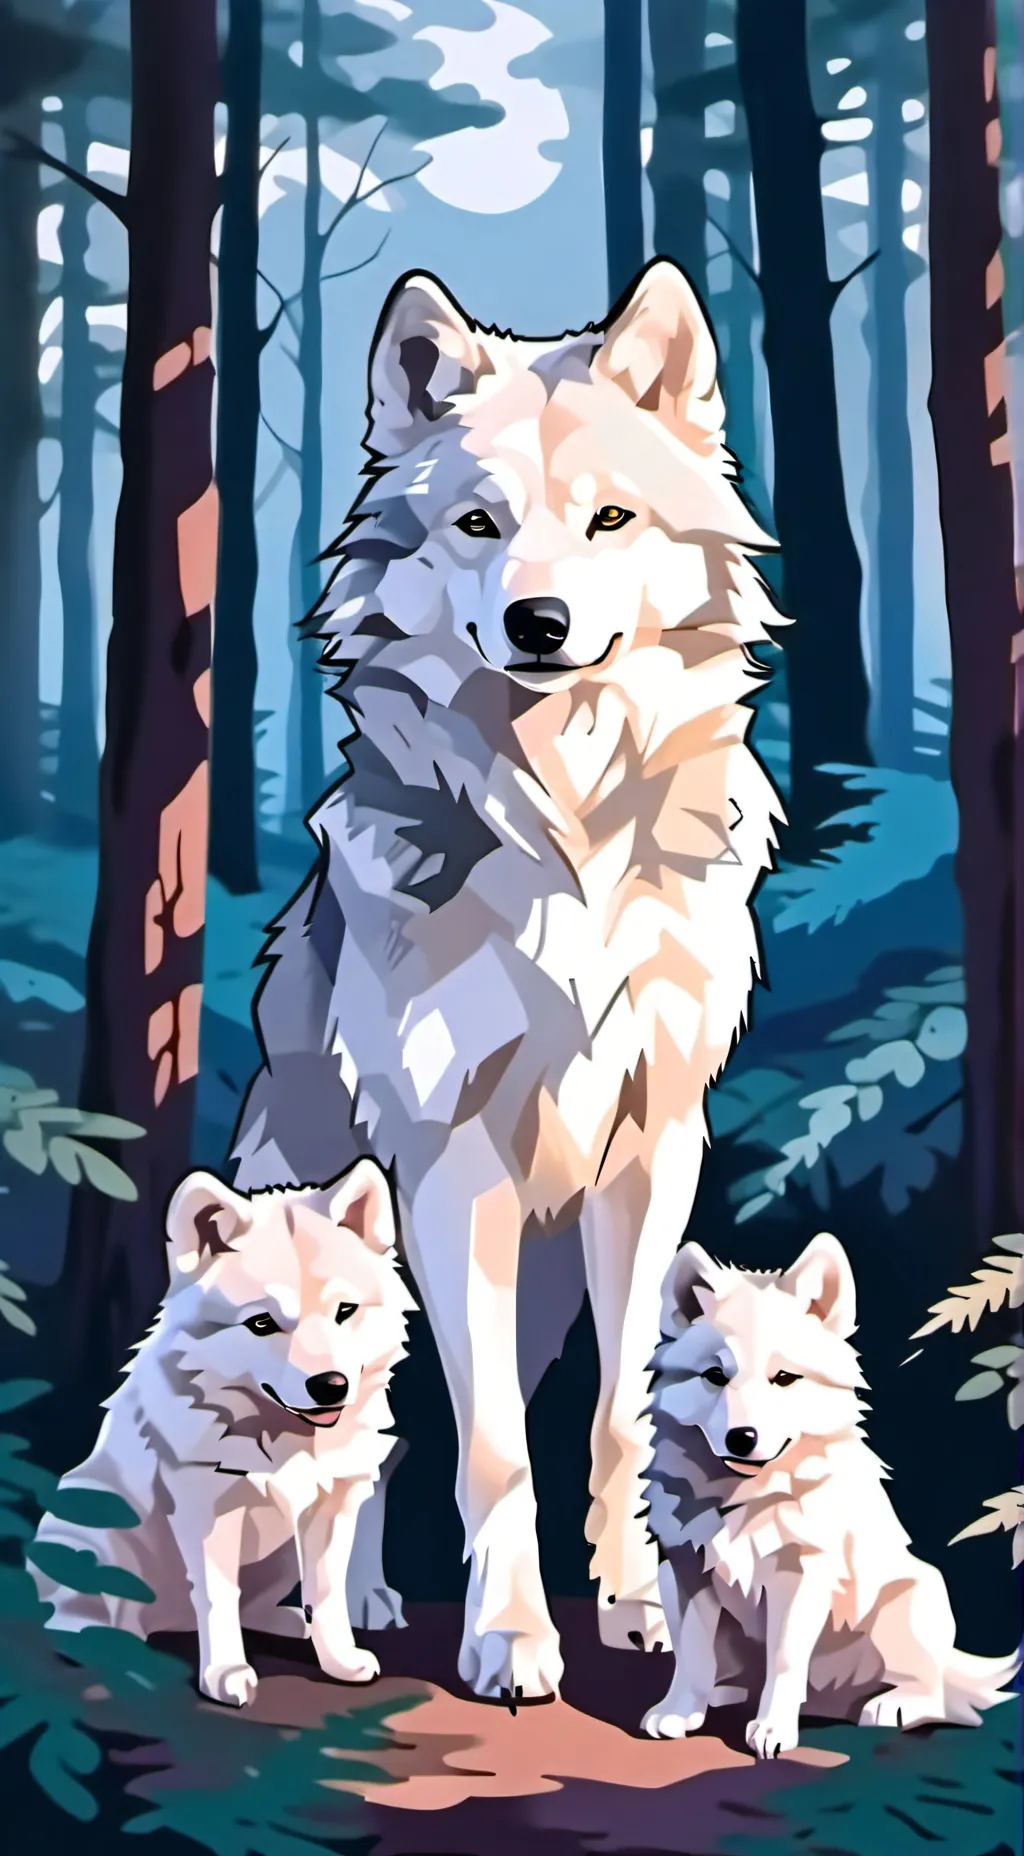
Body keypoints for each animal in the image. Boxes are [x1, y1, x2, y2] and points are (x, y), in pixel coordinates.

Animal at [31, 1159, 414, 1707]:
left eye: (345, 1311)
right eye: (262, 1323)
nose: (331, 1386)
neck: (284, 1441)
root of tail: (167, 1624)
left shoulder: (331, 1506)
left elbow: (326, 1591)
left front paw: (339, 1660)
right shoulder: (208, 1513)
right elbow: (217, 1597)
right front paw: (226, 1674)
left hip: (280, 1554)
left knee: (257, 1608)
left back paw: (290, 1623)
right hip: (87, 1527)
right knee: (78, 1617)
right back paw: (107, 1638)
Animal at [231, 257, 786, 1701]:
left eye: (609, 519)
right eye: (477, 524)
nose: (540, 621)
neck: (564, 829)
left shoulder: (655, 1153)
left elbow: (617, 1412)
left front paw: (640, 1610)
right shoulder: (453, 1164)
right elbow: (488, 1450)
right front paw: (513, 1642)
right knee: (357, 1414)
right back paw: (358, 1599)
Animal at [644, 1233, 1020, 1756]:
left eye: (784, 1378)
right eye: (715, 1377)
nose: (742, 1437)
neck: (742, 1500)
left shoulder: (800, 1576)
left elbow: (784, 1659)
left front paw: (772, 1731)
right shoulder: (682, 1570)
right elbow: (691, 1654)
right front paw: (680, 1712)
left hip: (912, 1598)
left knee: (937, 1694)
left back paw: (889, 1705)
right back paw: (727, 1691)